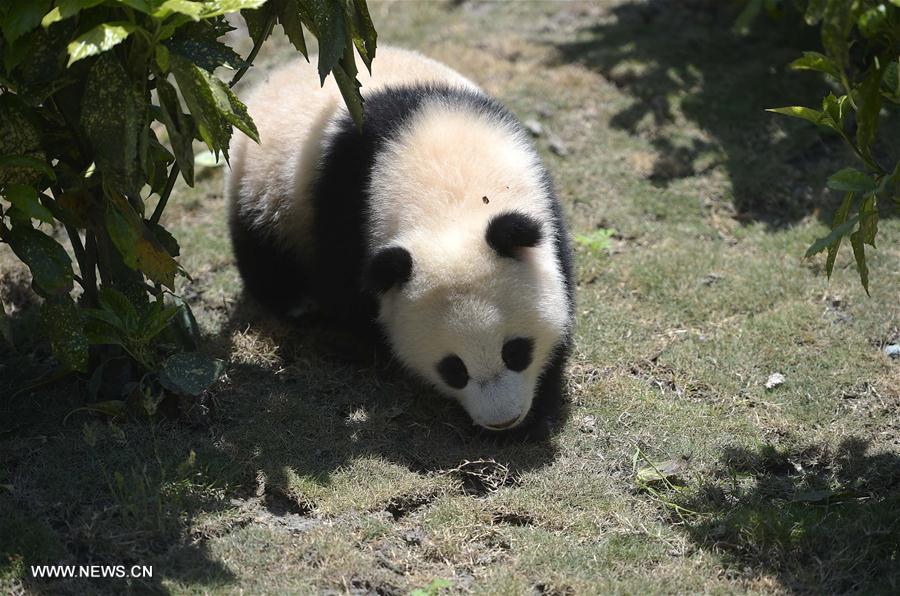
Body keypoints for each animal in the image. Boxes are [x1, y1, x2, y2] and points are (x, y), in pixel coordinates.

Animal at [226, 47, 574, 439]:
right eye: (453, 369)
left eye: (516, 351)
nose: (503, 421)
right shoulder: (346, 203)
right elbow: (345, 288)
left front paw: (538, 413)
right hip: (267, 186)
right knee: (262, 248)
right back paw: (298, 304)